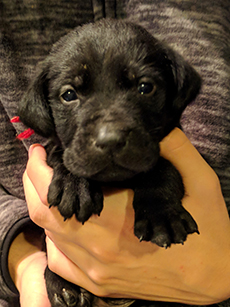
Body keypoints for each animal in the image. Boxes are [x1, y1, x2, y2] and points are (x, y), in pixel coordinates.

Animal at [18, 18, 201, 307]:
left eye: (145, 87)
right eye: (68, 94)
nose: (110, 139)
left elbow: (162, 168)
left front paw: (161, 214)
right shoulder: (55, 150)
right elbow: (62, 155)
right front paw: (74, 187)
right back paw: (63, 284)